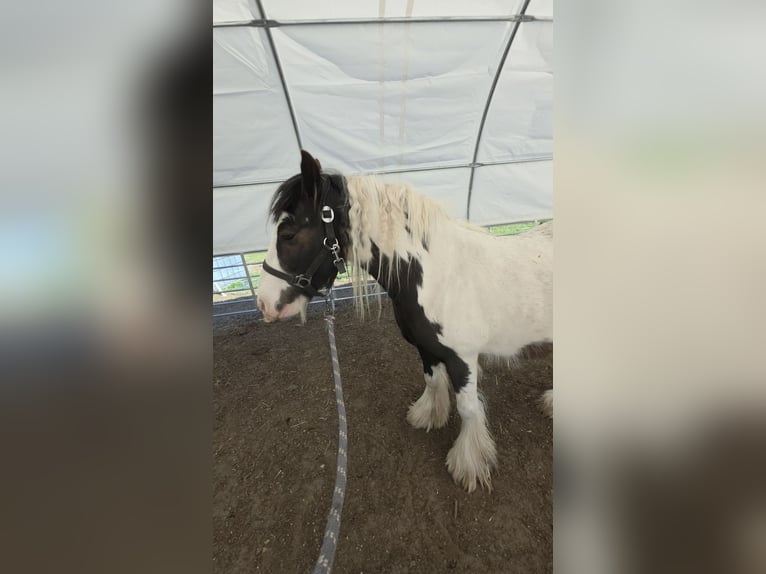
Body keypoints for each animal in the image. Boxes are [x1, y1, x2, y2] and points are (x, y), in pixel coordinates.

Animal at [256, 150, 553, 492]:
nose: (263, 303)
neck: (437, 275)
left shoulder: (463, 358)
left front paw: (469, 465)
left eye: (288, 235)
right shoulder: (426, 348)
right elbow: (432, 381)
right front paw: (428, 416)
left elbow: (468, 409)